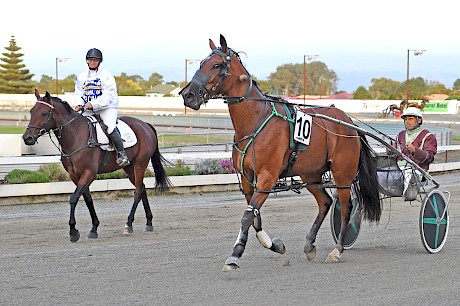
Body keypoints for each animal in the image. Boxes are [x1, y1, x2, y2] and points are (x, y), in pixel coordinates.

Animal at [23, 89, 172, 243]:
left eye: (44, 113)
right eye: (31, 111)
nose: (27, 138)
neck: (76, 136)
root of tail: (145, 124)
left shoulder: (89, 173)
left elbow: (73, 198)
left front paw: (73, 231)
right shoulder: (75, 175)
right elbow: (87, 199)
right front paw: (94, 228)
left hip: (140, 164)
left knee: (137, 192)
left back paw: (128, 224)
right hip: (129, 167)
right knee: (141, 188)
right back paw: (149, 222)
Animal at [180, 34, 380, 272]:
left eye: (217, 65)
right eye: (201, 63)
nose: (188, 95)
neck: (255, 120)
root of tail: (348, 122)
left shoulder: (267, 177)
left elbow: (247, 217)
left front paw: (235, 255)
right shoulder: (248, 178)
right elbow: (254, 217)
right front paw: (275, 245)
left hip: (343, 173)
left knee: (346, 207)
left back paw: (337, 250)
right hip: (311, 174)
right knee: (324, 202)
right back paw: (309, 245)